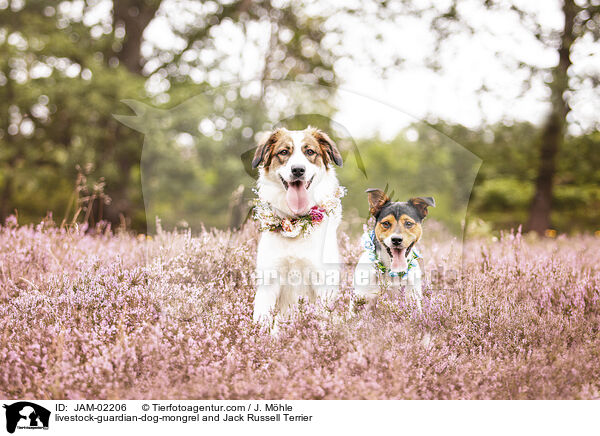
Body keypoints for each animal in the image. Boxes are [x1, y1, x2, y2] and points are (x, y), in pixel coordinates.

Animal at [251, 126, 344, 328]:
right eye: (284, 152)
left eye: (309, 152)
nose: (298, 170)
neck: (295, 222)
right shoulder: (269, 281)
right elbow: (262, 322)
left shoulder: (322, 281)